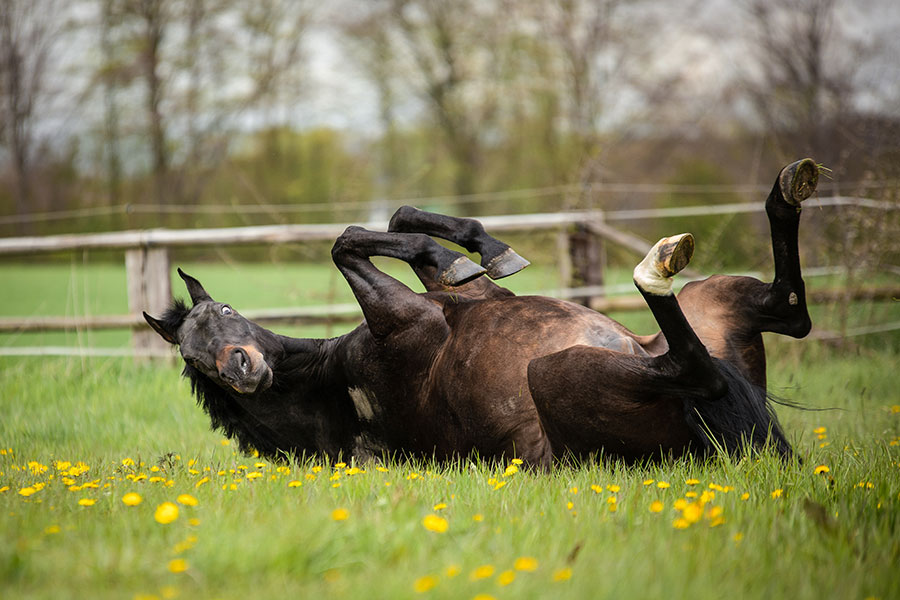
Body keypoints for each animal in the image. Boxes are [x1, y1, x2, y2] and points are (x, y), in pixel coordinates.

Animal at [144, 159, 818, 467]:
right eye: (195, 360)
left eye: (226, 307)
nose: (239, 366)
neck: (333, 382)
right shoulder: (405, 318)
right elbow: (346, 241)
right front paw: (460, 252)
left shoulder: (461, 301)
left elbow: (398, 223)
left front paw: (484, 250)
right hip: (559, 371)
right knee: (699, 367)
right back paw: (655, 266)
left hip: (714, 301)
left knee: (789, 310)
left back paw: (790, 189)